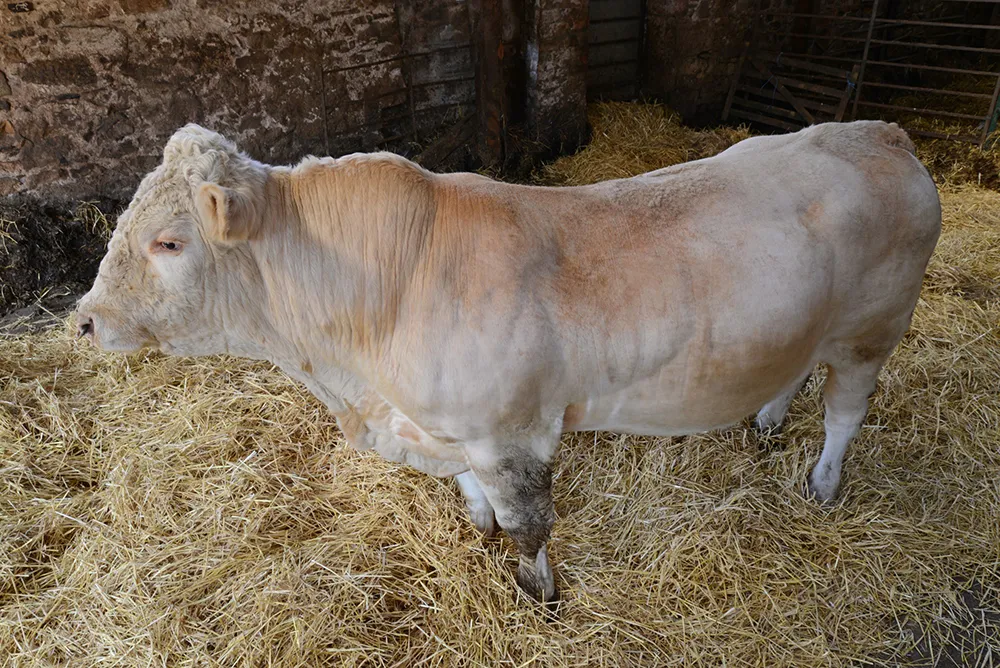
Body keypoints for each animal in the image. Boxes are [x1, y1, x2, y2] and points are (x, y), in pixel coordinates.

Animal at [76, 120, 941, 605]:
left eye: (168, 242)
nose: (85, 320)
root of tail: (881, 132)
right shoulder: (447, 427)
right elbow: (472, 493)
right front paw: (478, 524)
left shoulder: (511, 433)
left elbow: (529, 527)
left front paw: (539, 591)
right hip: (805, 324)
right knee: (795, 369)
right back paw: (765, 418)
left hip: (873, 329)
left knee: (845, 410)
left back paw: (823, 484)